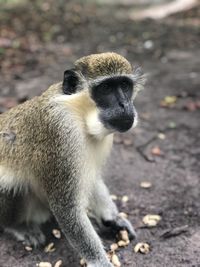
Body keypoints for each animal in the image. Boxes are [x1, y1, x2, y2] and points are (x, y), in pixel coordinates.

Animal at [0, 51, 144, 266]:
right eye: (106, 88)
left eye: (125, 86)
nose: (124, 105)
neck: (80, 115)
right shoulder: (60, 132)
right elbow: (66, 208)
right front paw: (99, 261)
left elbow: (93, 178)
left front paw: (112, 218)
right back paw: (16, 226)